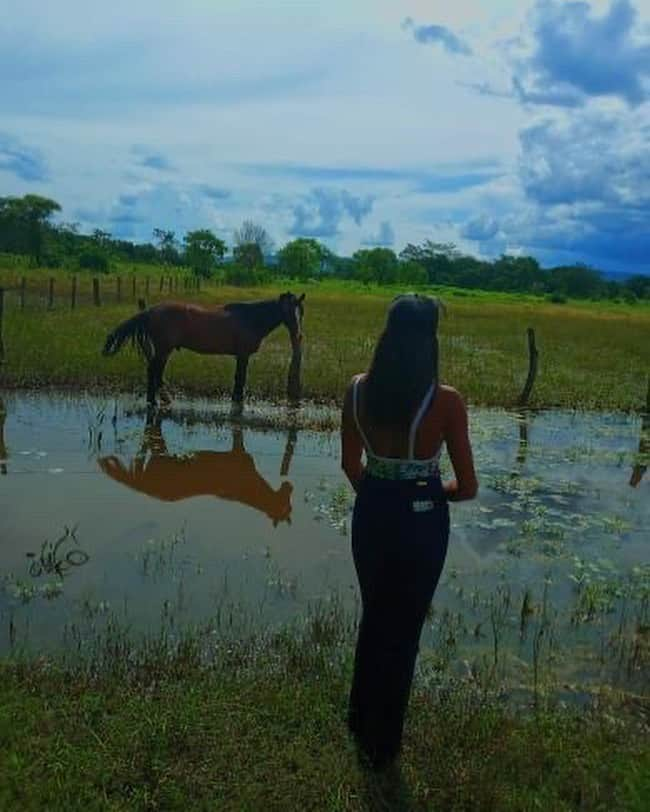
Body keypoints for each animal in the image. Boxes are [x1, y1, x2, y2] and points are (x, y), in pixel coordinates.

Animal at [101, 290, 304, 406]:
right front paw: (238, 402)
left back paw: (157, 400)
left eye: (301, 312)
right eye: (286, 311)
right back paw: (157, 401)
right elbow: (240, 379)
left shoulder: (241, 356)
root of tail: (150, 311)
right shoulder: (243, 355)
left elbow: (239, 379)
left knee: (155, 372)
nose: (298, 335)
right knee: (154, 371)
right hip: (163, 350)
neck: (251, 319)